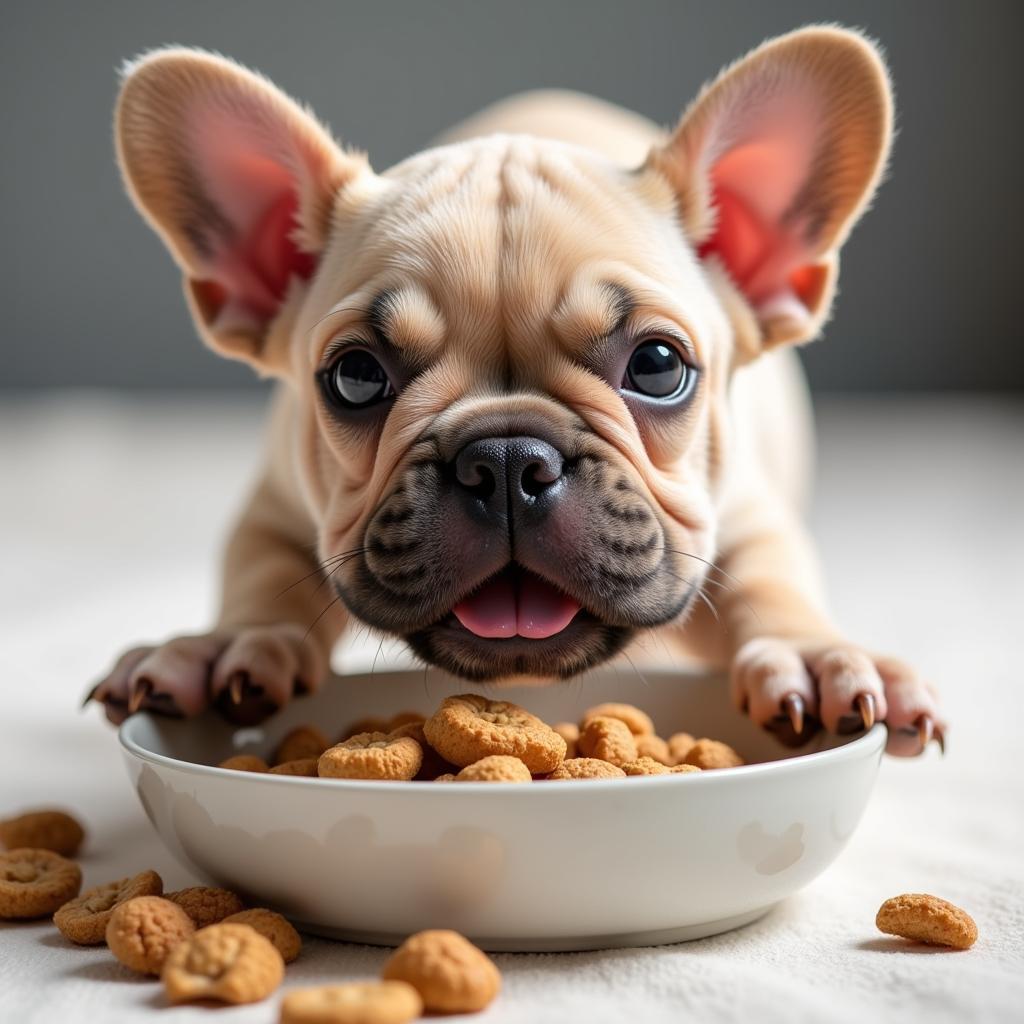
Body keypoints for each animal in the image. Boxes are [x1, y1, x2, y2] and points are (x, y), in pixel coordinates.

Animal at [94, 28, 942, 757]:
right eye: (356, 377)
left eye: (658, 366)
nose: (506, 460)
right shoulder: (275, 506)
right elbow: (264, 578)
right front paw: (224, 647)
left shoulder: (748, 515)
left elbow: (770, 582)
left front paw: (812, 655)